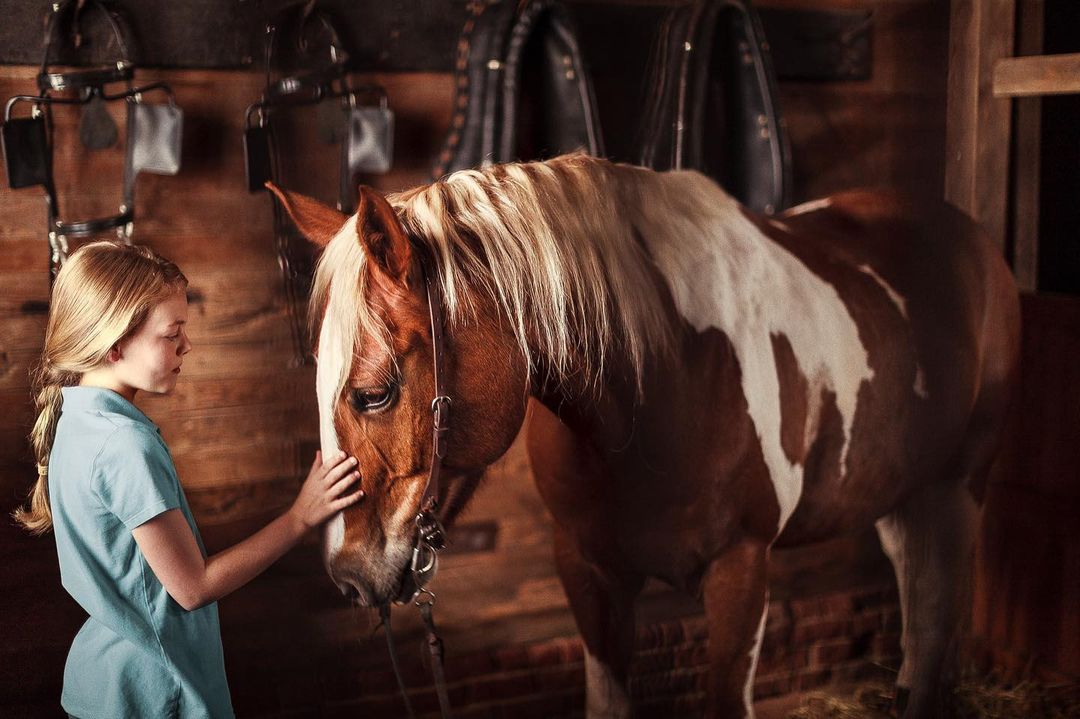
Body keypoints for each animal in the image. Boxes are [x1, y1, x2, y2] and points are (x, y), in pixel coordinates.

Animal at [267, 153, 1020, 718]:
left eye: (375, 393)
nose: (350, 576)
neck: (660, 383)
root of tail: (971, 237)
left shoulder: (741, 570)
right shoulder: (588, 571)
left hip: (961, 486)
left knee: (935, 612)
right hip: (902, 495)